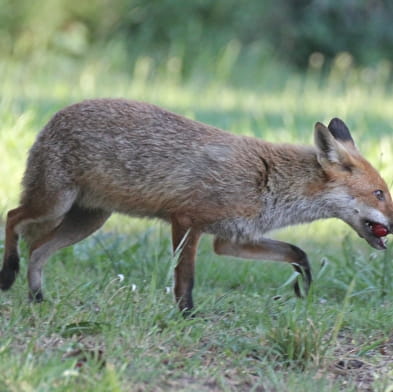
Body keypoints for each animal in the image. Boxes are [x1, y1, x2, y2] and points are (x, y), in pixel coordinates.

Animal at [0, 100, 392, 312]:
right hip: (53, 204)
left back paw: (36, 296)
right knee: (13, 217)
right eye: (379, 194)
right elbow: (185, 278)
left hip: (88, 220)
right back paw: (8, 273)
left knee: (37, 247)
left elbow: (297, 251)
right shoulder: (187, 219)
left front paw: (304, 280)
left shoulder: (232, 239)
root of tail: (56, 115)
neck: (270, 182)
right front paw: (186, 315)